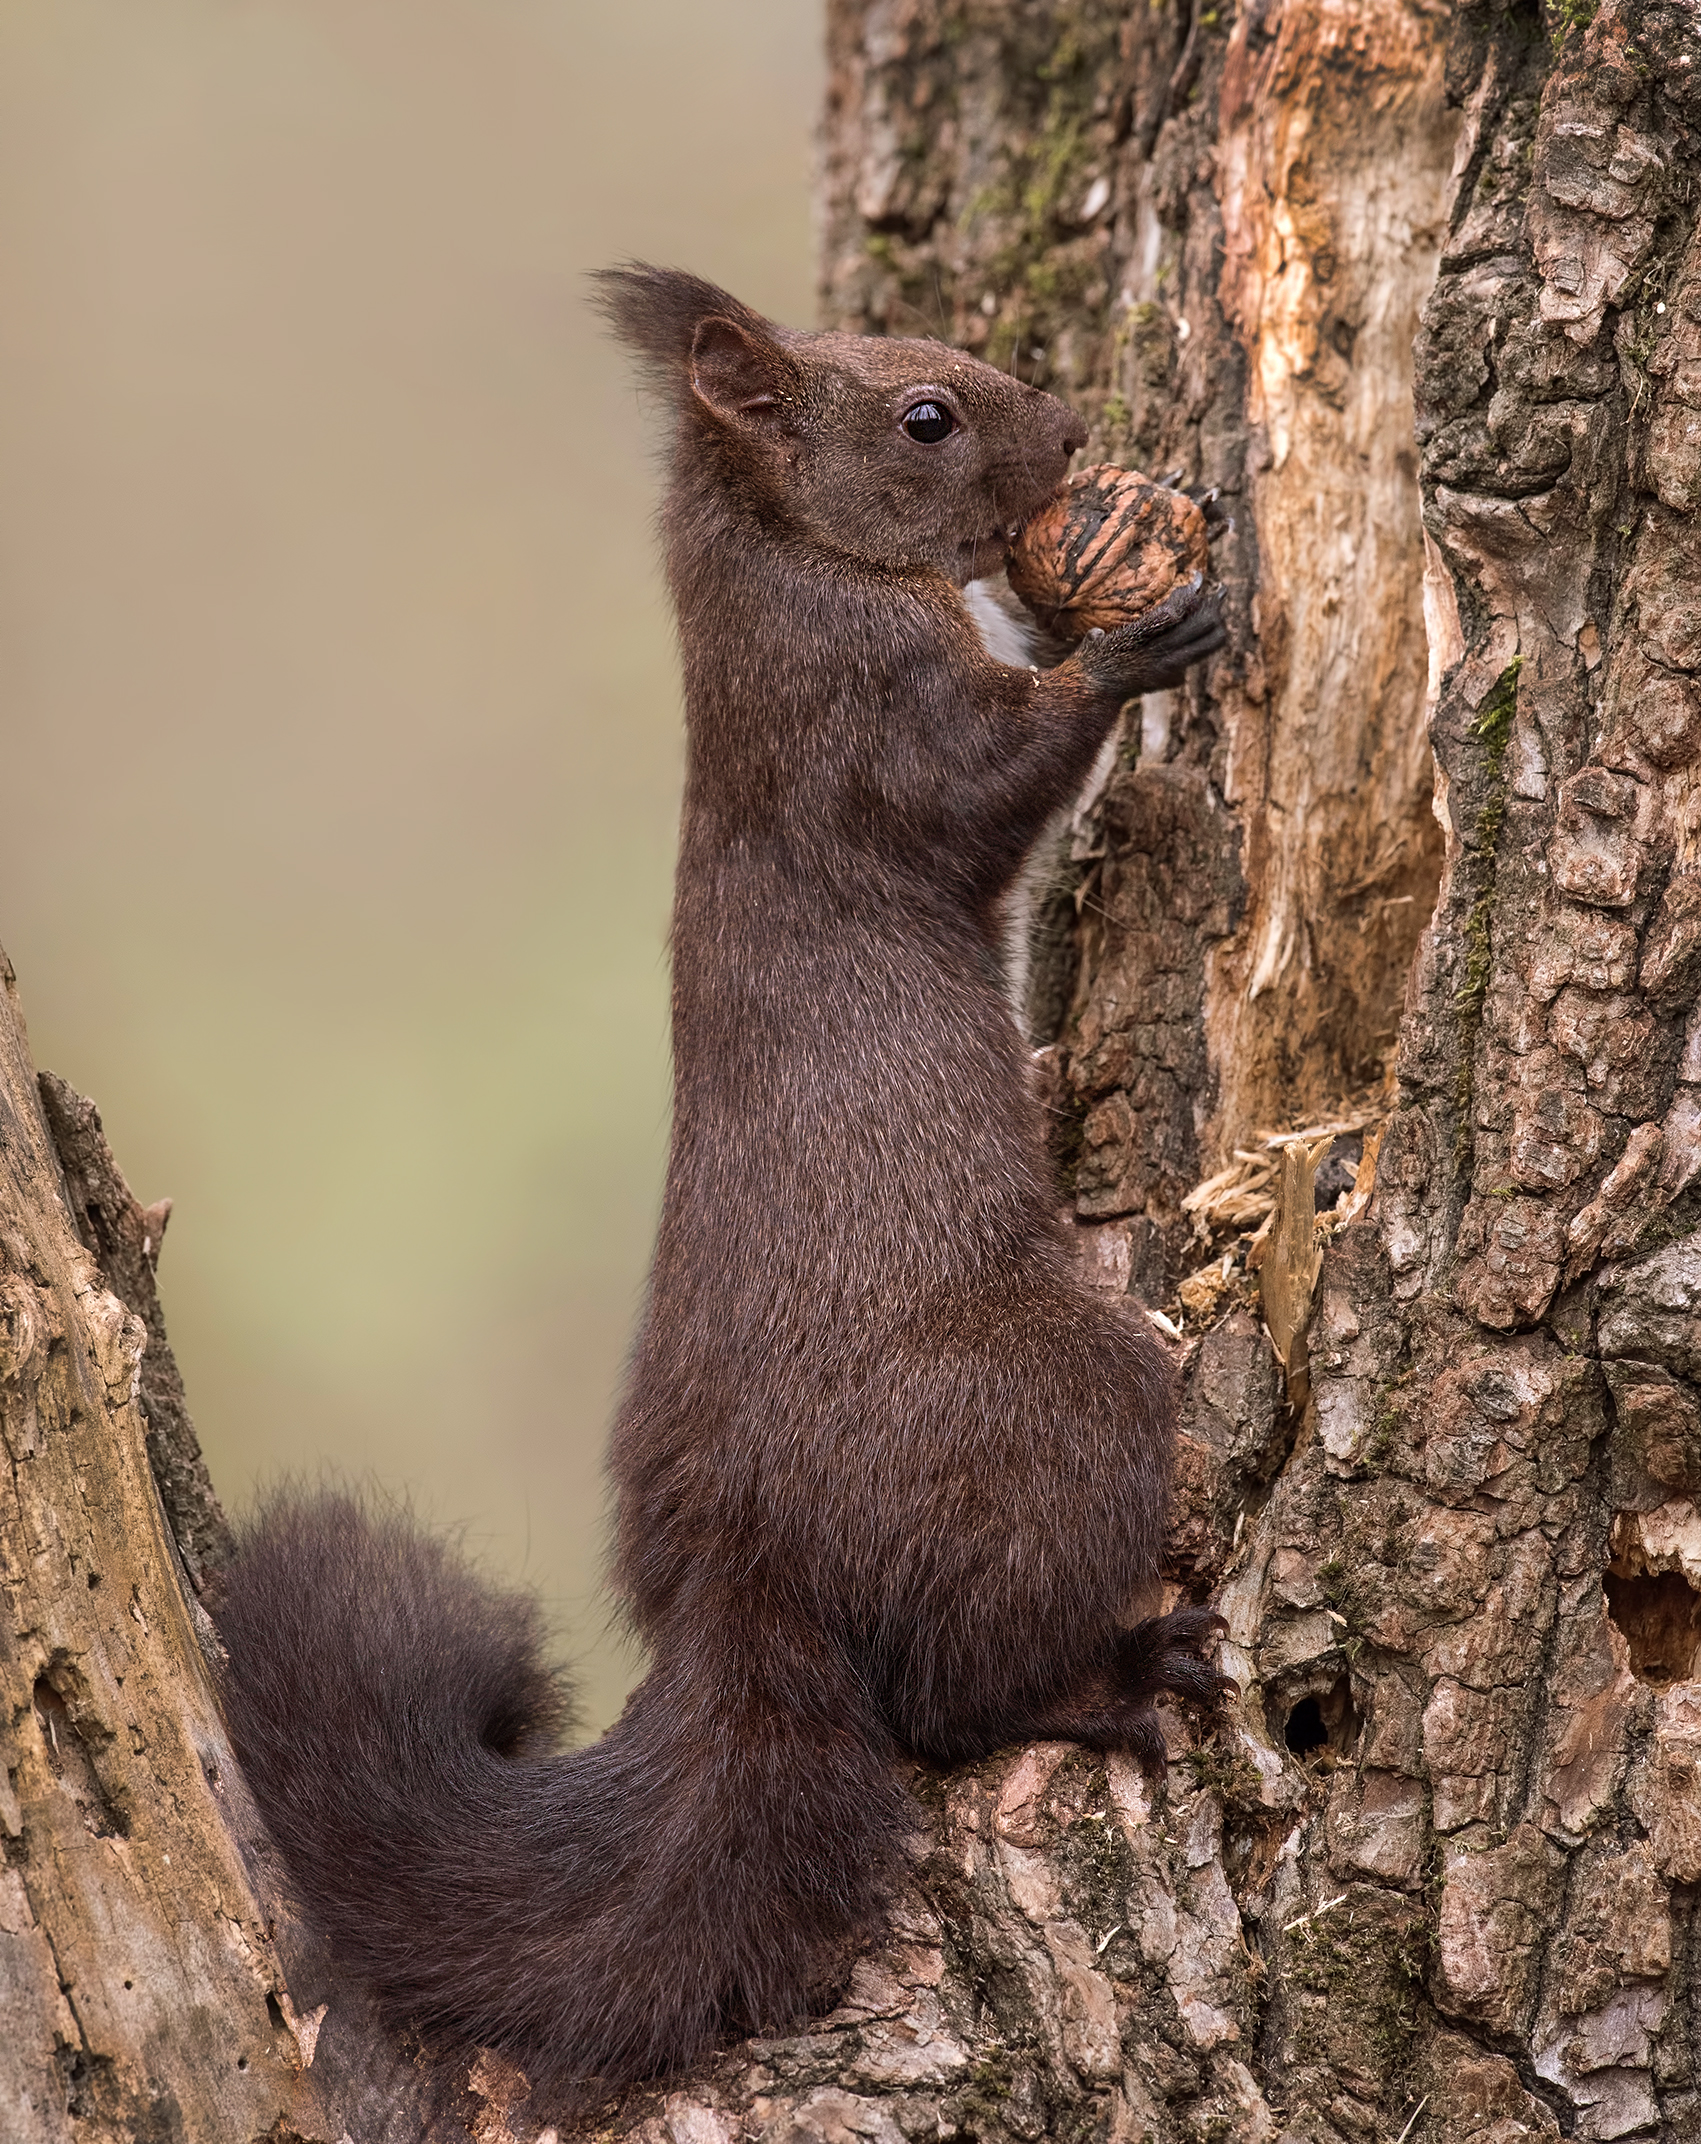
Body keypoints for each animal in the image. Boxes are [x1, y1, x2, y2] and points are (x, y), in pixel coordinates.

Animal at [212, 265, 1231, 2111]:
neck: (798, 579)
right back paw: (1122, 1670)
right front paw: (1134, 641)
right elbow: (987, 788)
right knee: (955, 1702)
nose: (1069, 433)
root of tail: (748, 1564)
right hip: (1057, 1405)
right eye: (924, 415)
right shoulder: (868, 743)